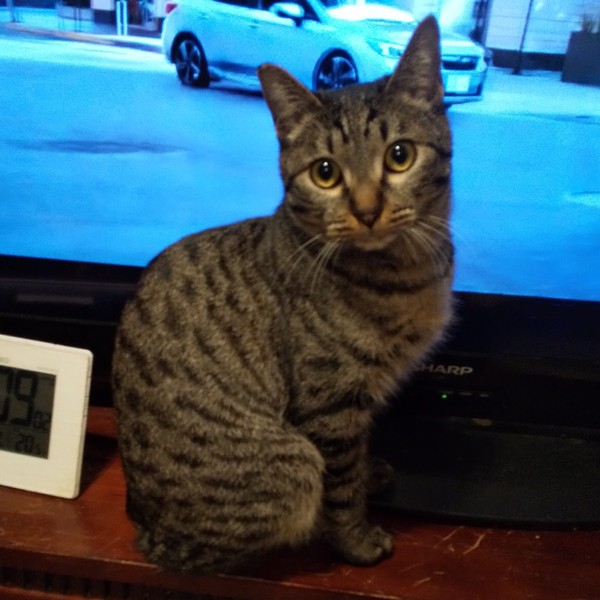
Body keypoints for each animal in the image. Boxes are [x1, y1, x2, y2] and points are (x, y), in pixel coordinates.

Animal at [112, 15, 454, 574]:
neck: (405, 272)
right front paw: (357, 540)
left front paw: (372, 472)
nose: (366, 210)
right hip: (291, 465)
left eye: (399, 156)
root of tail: (146, 530)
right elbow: (341, 487)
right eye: (325, 172)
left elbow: (359, 456)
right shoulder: (330, 405)